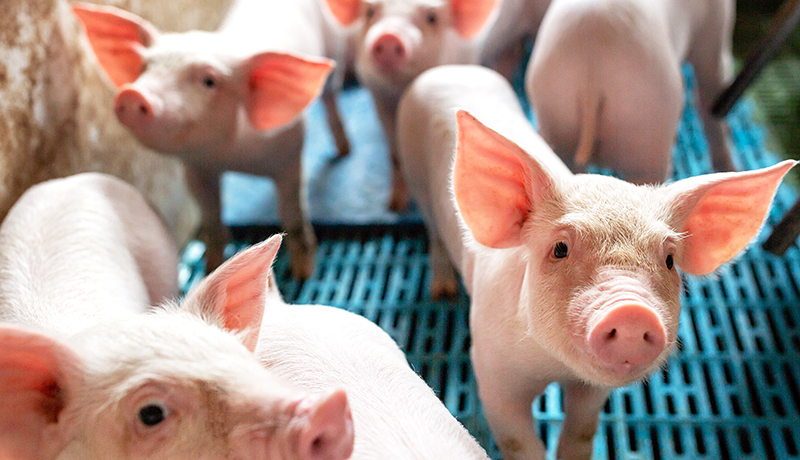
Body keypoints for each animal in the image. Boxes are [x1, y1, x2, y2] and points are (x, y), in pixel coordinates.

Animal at [73, 0, 352, 277]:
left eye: (209, 81)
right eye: (144, 68)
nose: (132, 94)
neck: (230, 157)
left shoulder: (290, 155)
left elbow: (293, 216)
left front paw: (303, 274)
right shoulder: (197, 169)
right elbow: (212, 220)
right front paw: (210, 268)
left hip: (335, 53)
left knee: (331, 97)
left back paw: (344, 151)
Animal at [322, 0, 500, 211]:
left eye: (432, 17)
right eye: (370, 12)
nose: (389, 36)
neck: (400, 94)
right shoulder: (379, 98)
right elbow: (395, 155)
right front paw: (394, 206)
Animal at [397, 64, 794, 460]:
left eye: (669, 259)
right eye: (560, 248)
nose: (632, 312)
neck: (554, 367)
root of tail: (452, 68)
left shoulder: (592, 390)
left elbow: (581, 430)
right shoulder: (492, 374)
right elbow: (519, 442)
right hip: (416, 178)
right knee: (433, 230)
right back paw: (443, 290)